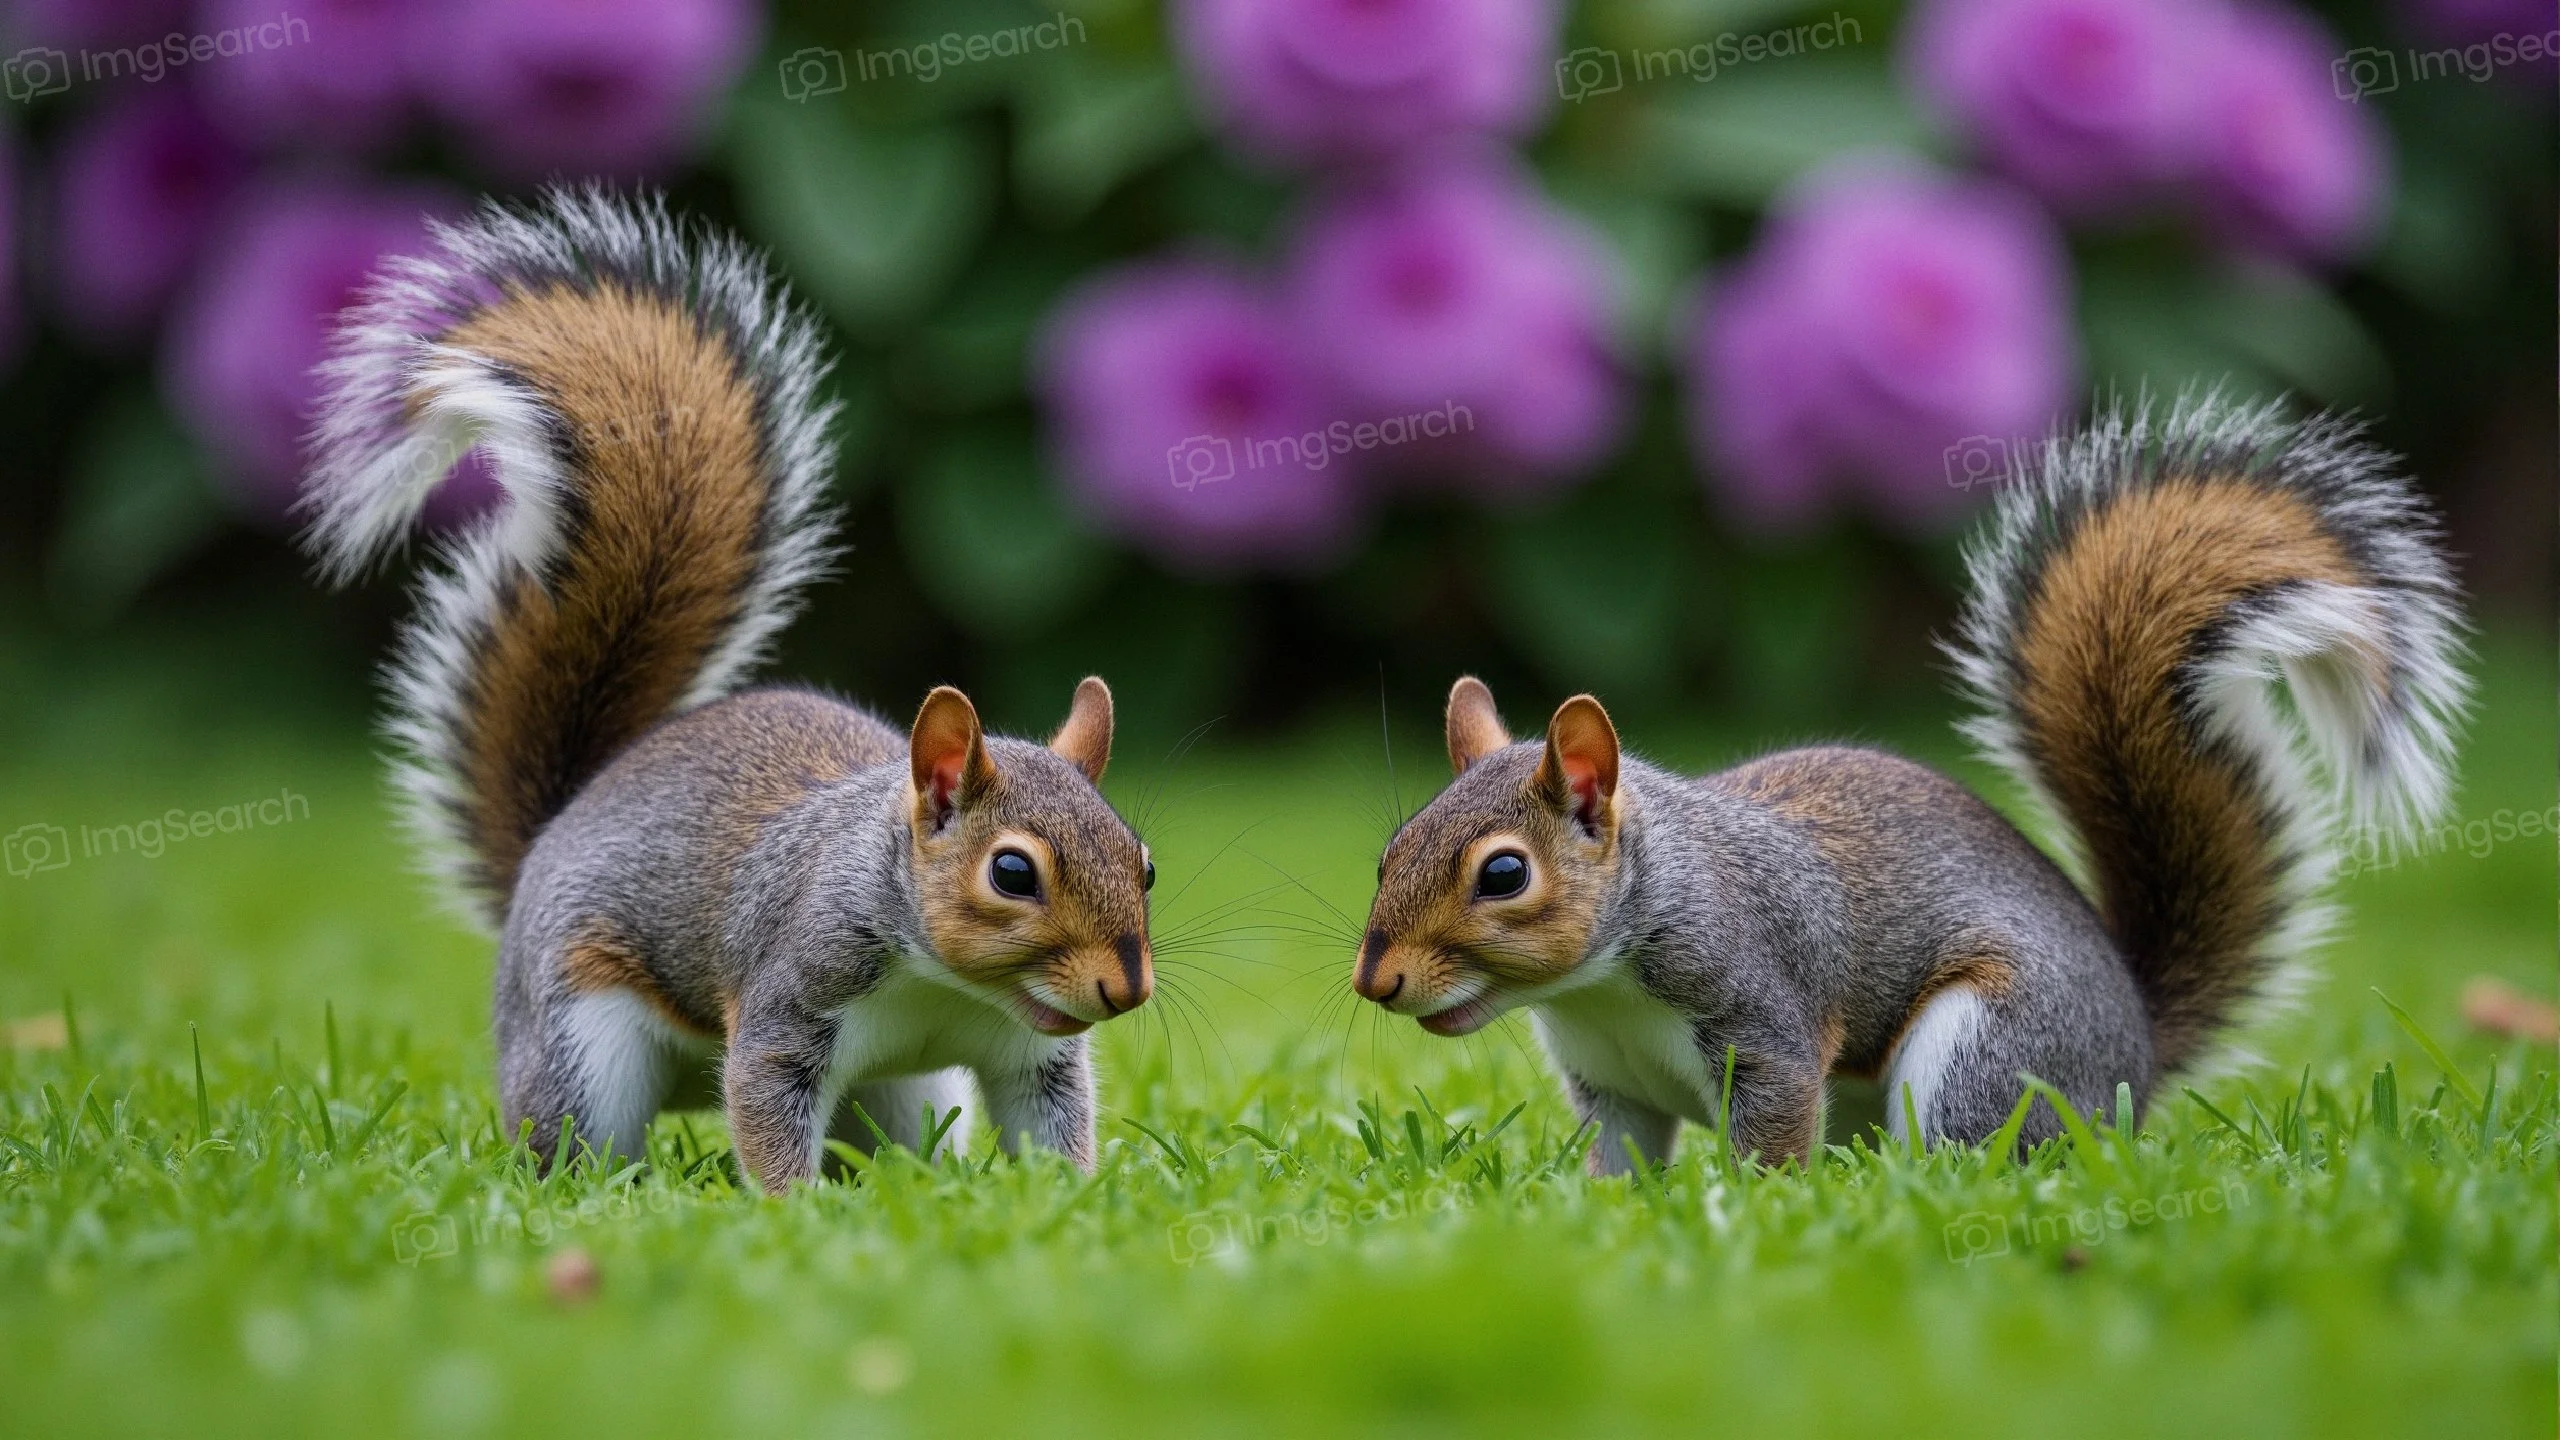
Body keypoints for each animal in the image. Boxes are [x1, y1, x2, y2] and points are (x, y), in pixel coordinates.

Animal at [299, 189, 1156, 1190]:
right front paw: (798, 1209)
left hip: (907, 1096)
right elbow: (766, 1106)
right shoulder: (791, 998)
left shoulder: (1032, 1055)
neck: (946, 983)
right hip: (579, 1044)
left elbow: (1051, 1127)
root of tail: (553, 835)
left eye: (1145, 864)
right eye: (1012, 873)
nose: (1126, 988)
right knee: (578, 1138)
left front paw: (1078, 1200)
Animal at [1354, 400, 2470, 1172]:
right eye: (1387, 853)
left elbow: (1768, 1139)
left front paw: (1755, 1215)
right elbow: (1624, 1168)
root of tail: (2136, 1054)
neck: (1600, 984)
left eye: (1504, 875)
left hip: (1989, 1046)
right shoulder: (1610, 1085)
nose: (1377, 983)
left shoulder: (1764, 1025)